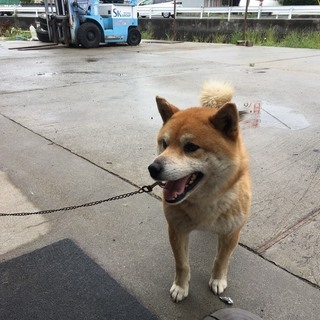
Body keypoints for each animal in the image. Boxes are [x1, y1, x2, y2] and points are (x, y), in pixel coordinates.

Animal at [149, 81, 251, 302]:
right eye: (164, 144)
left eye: (191, 147)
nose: (153, 168)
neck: (205, 202)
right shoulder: (177, 230)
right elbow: (182, 264)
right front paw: (181, 287)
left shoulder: (231, 233)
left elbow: (221, 259)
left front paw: (218, 280)